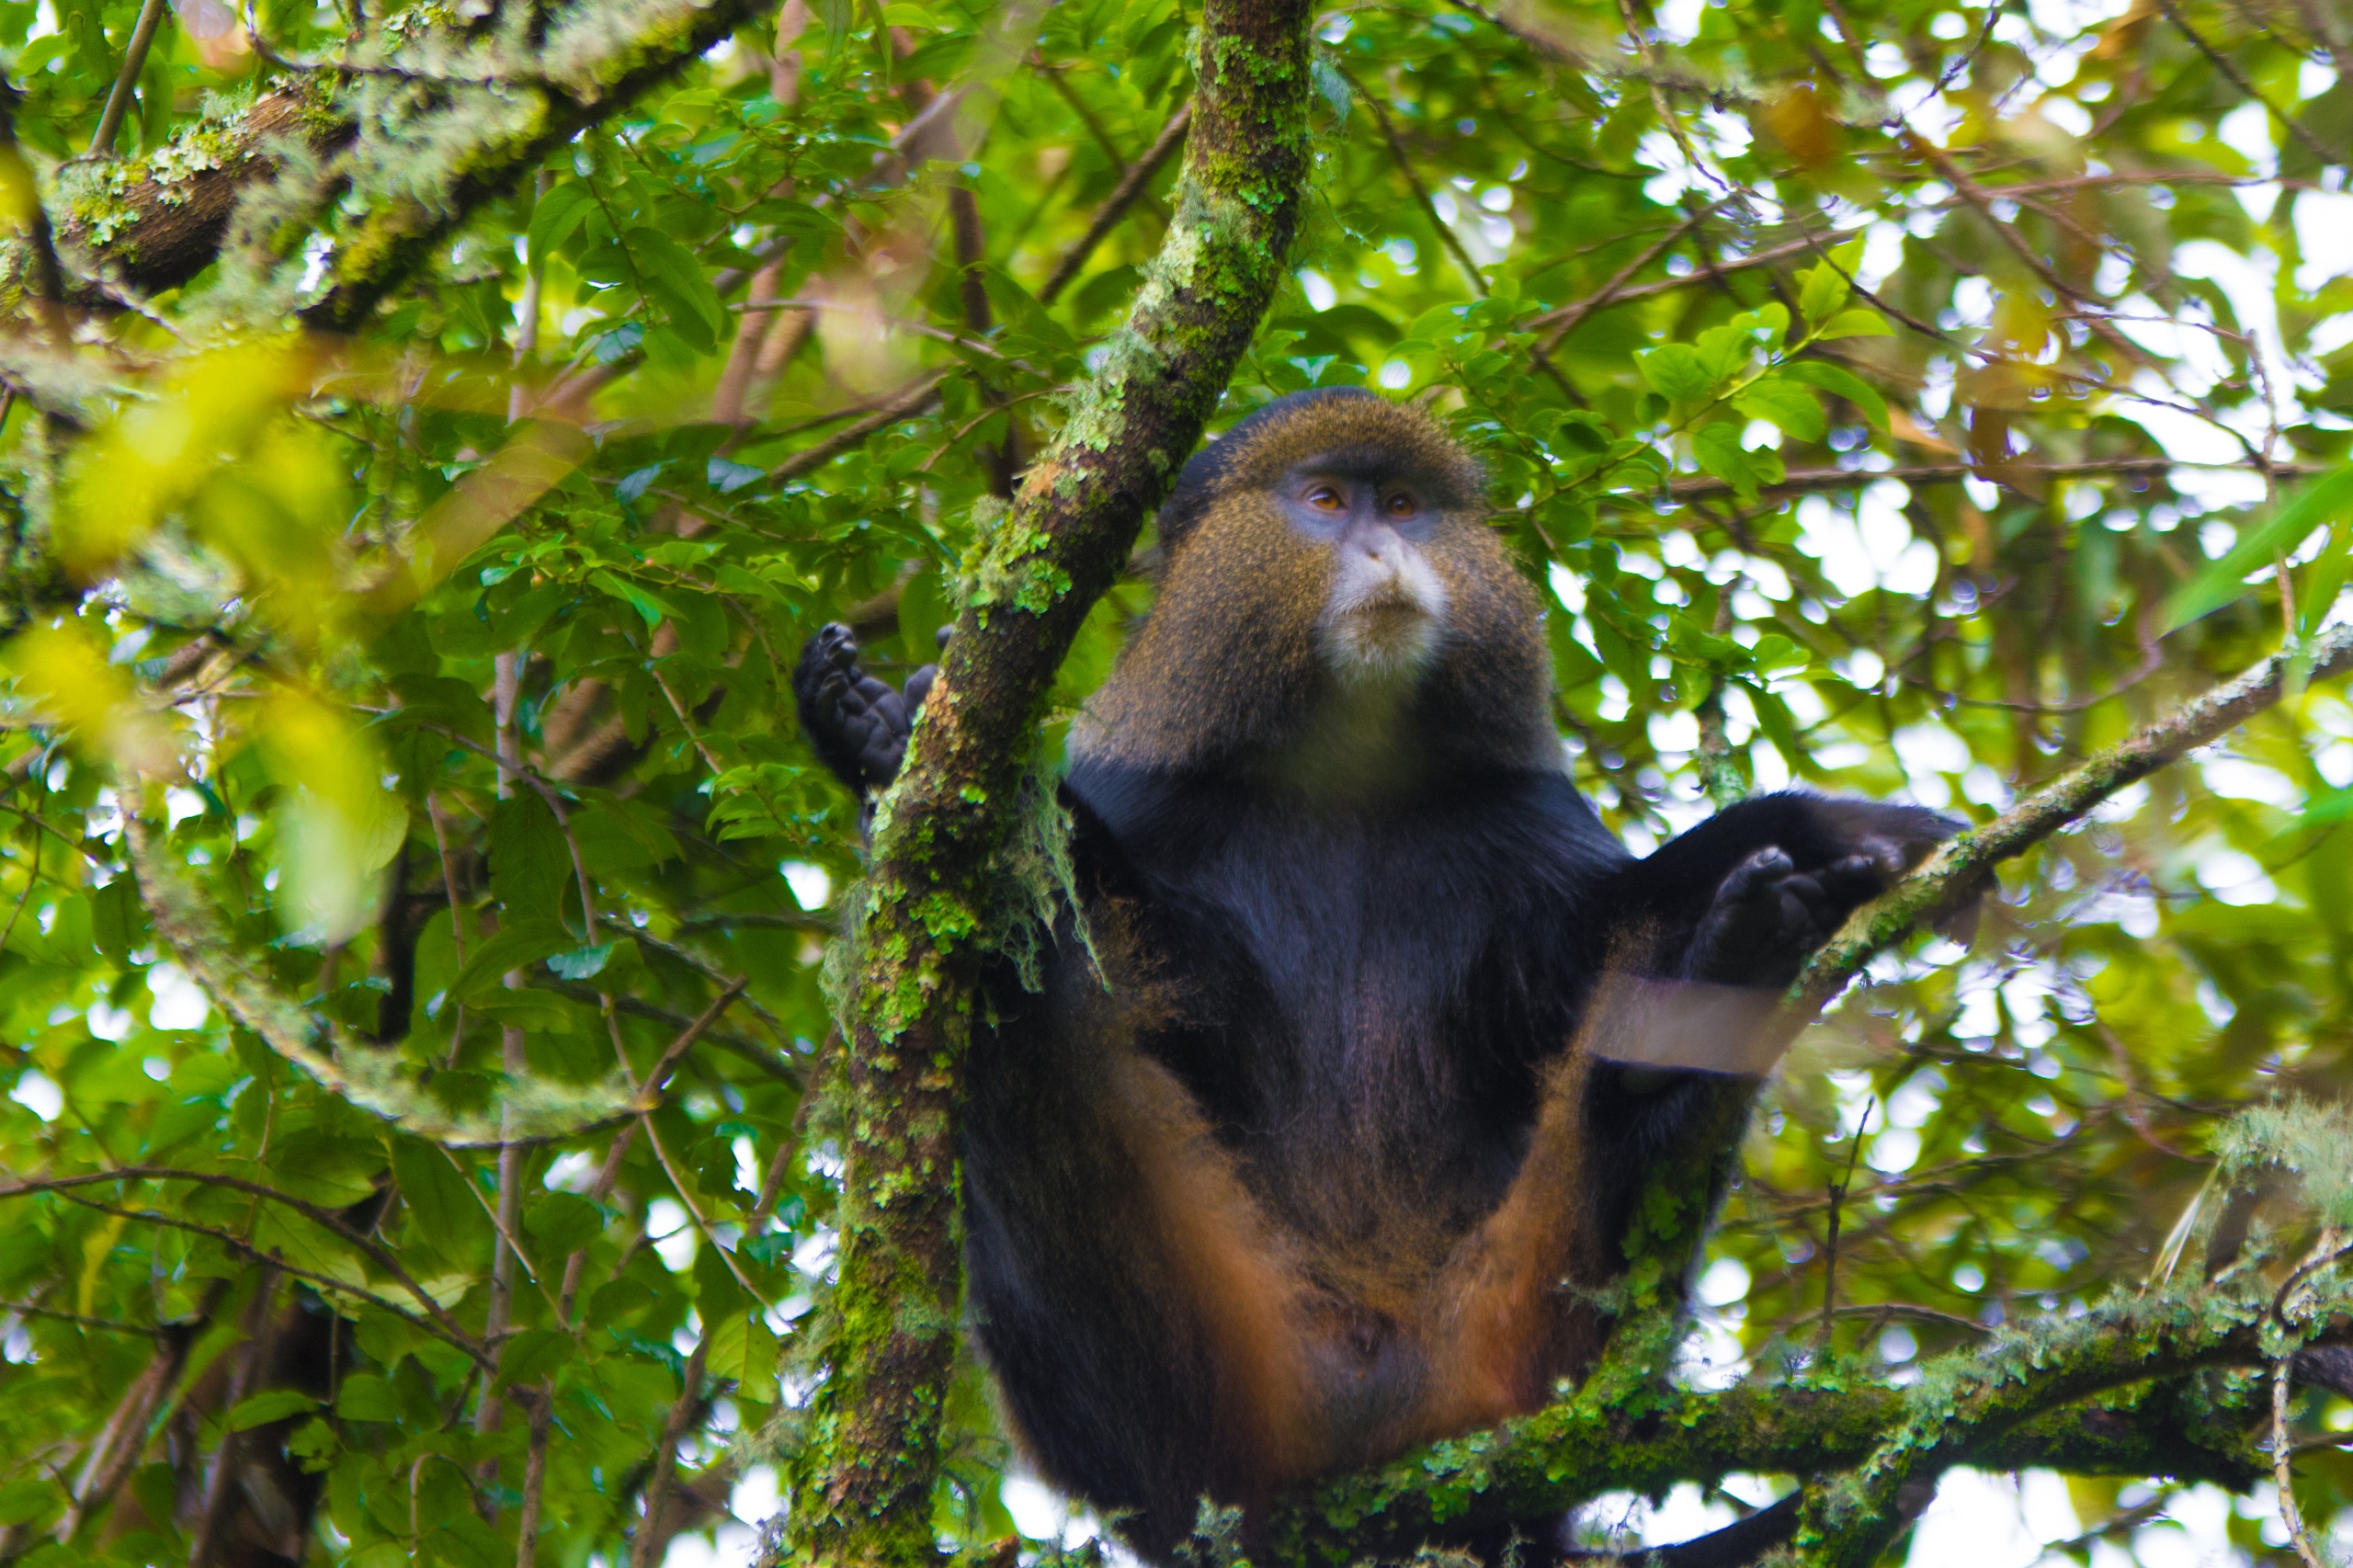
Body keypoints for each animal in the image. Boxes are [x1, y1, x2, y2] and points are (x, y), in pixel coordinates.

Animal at [794, 387, 1955, 1559]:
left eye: (1401, 503)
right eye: (1323, 500)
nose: (1384, 546)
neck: (1345, 758)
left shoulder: (1524, 813)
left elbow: (1577, 952)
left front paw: (1827, 831)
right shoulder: (1149, 787)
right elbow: (1170, 984)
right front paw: (886, 729)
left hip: (1521, 1336)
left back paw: (1706, 1001)